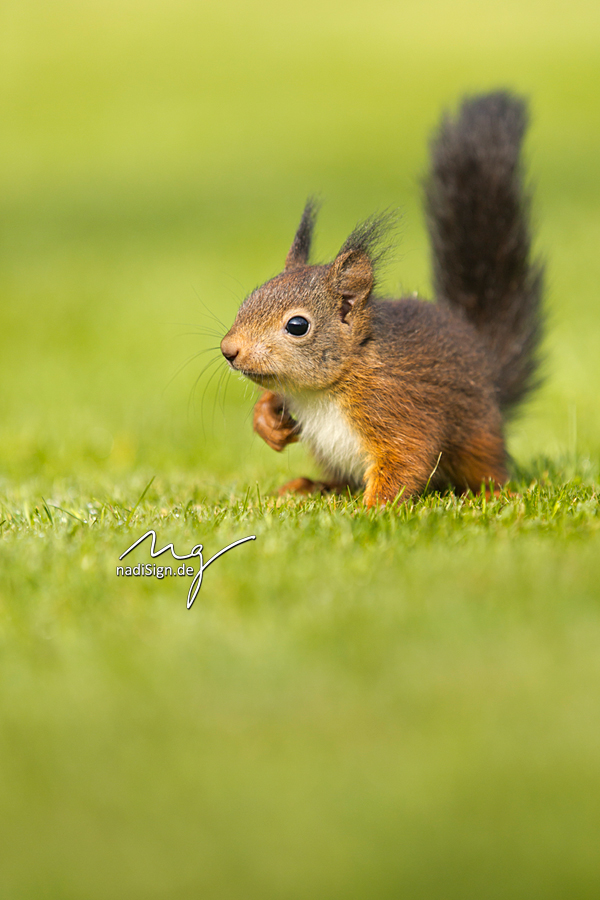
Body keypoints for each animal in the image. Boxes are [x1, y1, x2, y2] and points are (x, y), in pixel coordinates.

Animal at [219, 96, 544, 512]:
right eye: (250, 298)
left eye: (297, 326)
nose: (229, 350)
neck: (320, 392)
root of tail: (487, 368)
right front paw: (267, 422)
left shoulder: (393, 405)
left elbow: (407, 456)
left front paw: (370, 511)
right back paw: (309, 487)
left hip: (478, 436)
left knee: (485, 469)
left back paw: (494, 492)